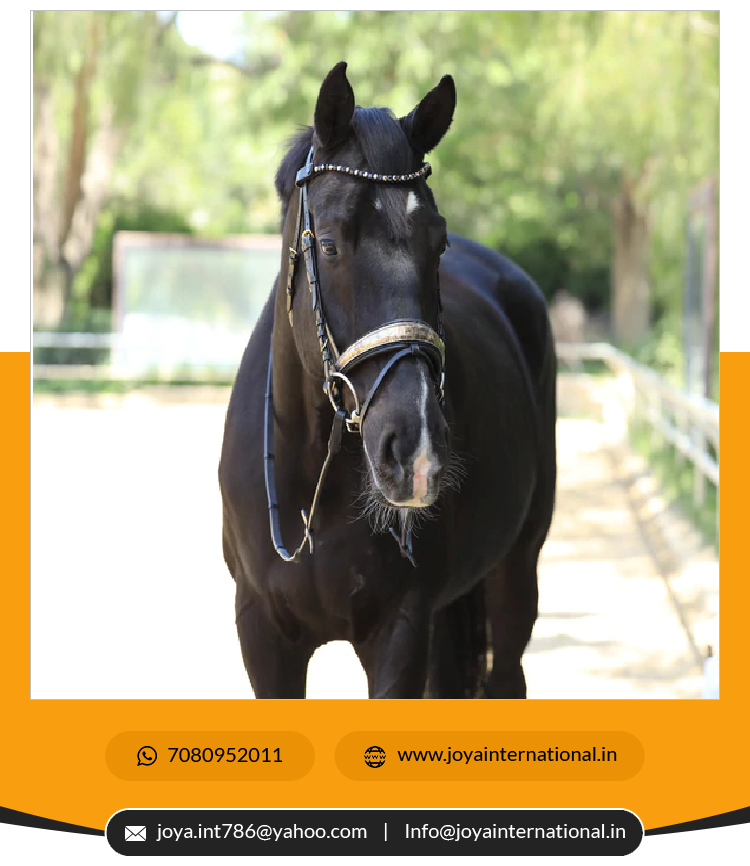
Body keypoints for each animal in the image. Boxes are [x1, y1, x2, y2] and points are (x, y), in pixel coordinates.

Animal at [219, 62, 557, 699]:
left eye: (438, 242)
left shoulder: (400, 630)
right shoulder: (263, 633)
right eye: (328, 243)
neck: (314, 484)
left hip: (516, 569)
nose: (416, 450)